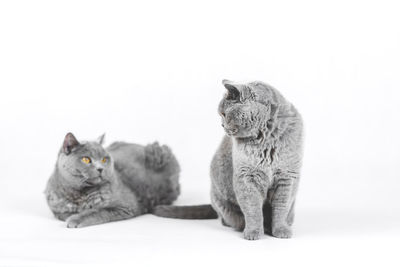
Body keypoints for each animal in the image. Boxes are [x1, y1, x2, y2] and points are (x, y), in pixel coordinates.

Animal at [45, 134, 180, 228]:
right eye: (86, 159)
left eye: (104, 159)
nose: (100, 169)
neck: (79, 193)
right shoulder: (56, 208)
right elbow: (63, 213)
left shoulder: (124, 206)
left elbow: (97, 211)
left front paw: (76, 219)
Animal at [154, 79, 304, 241]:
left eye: (224, 113)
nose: (222, 124)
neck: (266, 138)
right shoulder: (246, 177)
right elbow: (253, 209)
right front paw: (253, 232)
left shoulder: (287, 177)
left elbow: (281, 208)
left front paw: (281, 230)